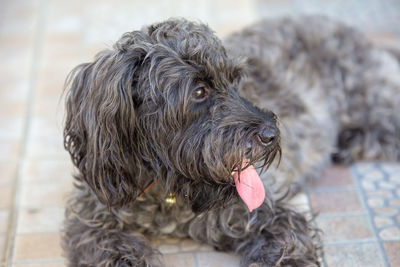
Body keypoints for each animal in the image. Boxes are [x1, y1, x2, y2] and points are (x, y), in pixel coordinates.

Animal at [61, 15, 400, 266]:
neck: (170, 193)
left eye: (235, 81)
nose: (272, 134)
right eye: (199, 91)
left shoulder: (269, 214)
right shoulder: (92, 216)